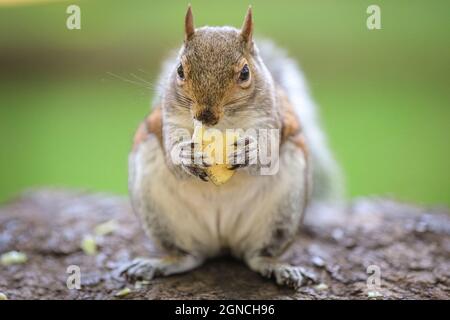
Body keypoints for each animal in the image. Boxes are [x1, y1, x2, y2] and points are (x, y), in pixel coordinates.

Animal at [121, 6, 342, 288]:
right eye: (179, 70)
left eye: (245, 73)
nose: (205, 116)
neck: (224, 124)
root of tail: (222, 241)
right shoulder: (168, 119)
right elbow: (172, 152)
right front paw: (185, 155)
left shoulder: (272, 118)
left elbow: (268, 152)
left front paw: (252, 151)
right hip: (159, 211)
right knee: (188, 256)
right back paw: (160, 263)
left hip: (282, 214)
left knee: (257, 255)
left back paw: (277, 266)